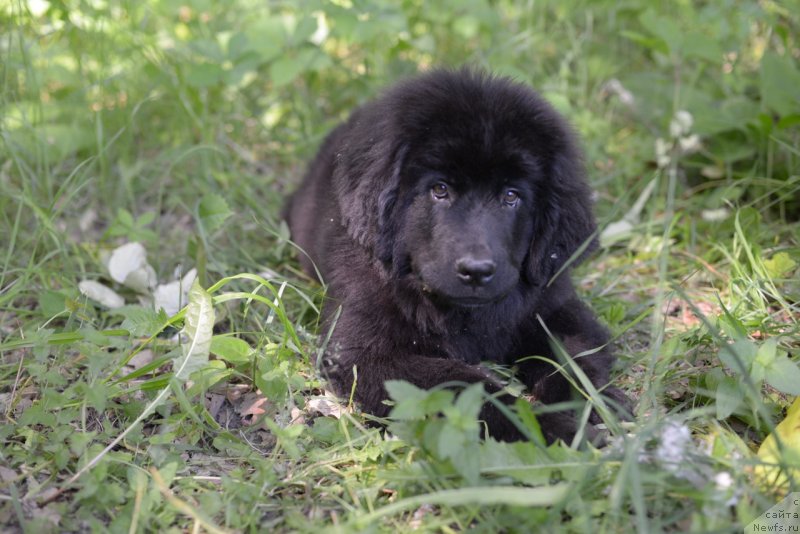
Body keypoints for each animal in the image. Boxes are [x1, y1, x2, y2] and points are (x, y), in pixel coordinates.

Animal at [288, 68, 632, 444]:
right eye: (440, 189)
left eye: (511, 196)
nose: (477, 271)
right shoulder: (366, 351)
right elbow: (464, 385)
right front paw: (551, 429)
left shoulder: (556, 306)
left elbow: (573, 355)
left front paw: (588, 403)